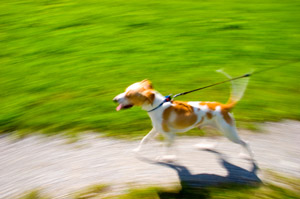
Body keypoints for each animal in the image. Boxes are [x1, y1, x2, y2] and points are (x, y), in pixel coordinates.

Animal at [112, 74, 253, 161]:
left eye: (129, 95)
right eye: (125, 91)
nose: (114, 99)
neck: (158, 106)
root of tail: (224, 107)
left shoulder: (169, 135)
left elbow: (165, 147)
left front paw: (166, 158)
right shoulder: (157, 130)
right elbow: (145, 140)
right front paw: (137, 150)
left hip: (229, 132)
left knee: (245, 142)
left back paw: (247, 156)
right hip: (208, 126)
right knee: (214, 137)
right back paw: (207, 146)